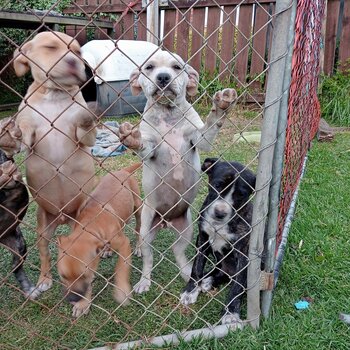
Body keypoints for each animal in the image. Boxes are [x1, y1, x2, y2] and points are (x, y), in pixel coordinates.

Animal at [11, 31, 97, 294]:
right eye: (50, 47)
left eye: (78, 52)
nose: (73, 62)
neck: (54, 95)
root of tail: (63, 218)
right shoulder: (30, 132)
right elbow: (24, 133)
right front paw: (13, 131)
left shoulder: (84, 138)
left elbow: (85, 127)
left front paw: (87, 116)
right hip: (43, 228)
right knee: (45, 254)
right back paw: (44, 279)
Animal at [56, 163, 142, 318]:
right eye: (63, 276)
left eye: (84, 275)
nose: (72, 299)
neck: (91, 224)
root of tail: (123, 171)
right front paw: (83, 304)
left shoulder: (124, 244)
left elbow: (121, 268)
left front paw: (121, 291)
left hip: (138, 207)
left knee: (138, 229)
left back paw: (139, 246)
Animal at [118, 49, 238, 294]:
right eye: (149, 67)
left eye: (176, 67)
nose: (163, 77)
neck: (168, 115)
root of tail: (166, 222)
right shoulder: (151, 148)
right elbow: (143, 145)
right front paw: (132, 138)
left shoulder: (200, 139)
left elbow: (210, 126)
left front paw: (221, 106)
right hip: (147, 229)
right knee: (148, 257)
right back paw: (144, 281)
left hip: (187, 229)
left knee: (178, 251)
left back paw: (187, 274)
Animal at [180, 159, 254, 328]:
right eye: (218, 185)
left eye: (241, 195)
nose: (220, 213)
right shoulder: (202, 239)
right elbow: (196, 268)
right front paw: (190, 291)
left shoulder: (243, 252)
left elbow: (238, 286)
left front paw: (231, 313)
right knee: (220, 272)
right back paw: (207, 281)